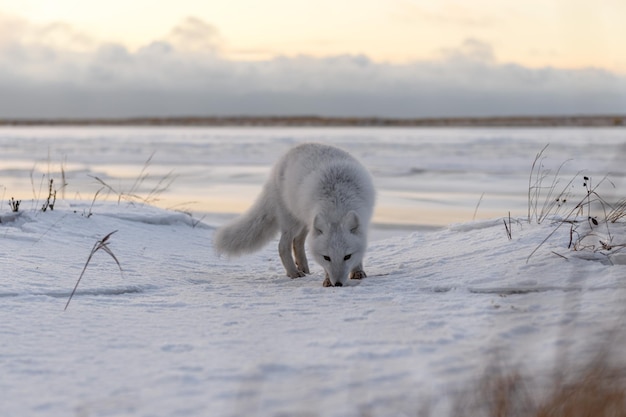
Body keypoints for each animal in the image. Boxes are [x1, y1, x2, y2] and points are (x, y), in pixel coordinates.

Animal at [212, 143, 372, 286]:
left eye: (347, 256)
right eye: (327, 257)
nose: (337, 284)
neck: (336, 205)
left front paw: (357, 271)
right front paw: (327, 279)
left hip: (305, 221)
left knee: (297, 242)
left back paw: (304, 268)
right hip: (291, 222)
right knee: (283, 246)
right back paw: (293, 272)